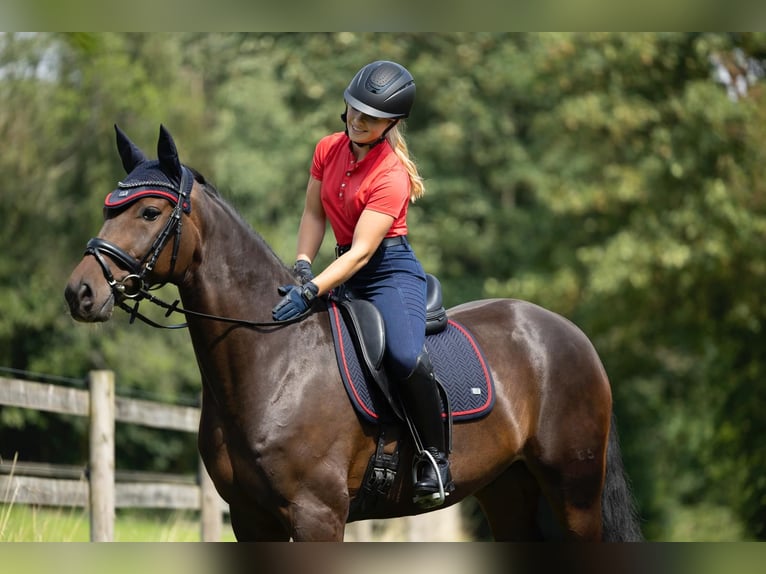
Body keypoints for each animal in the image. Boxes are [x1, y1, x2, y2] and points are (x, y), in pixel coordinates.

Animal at [64, 126, 640, 544]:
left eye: (149, 211)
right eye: (108, 208)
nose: (80, 293)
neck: (274, 358)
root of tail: (569, 334)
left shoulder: (316, 515)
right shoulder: (251, 519)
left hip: (574, 491)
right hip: (507, 489)